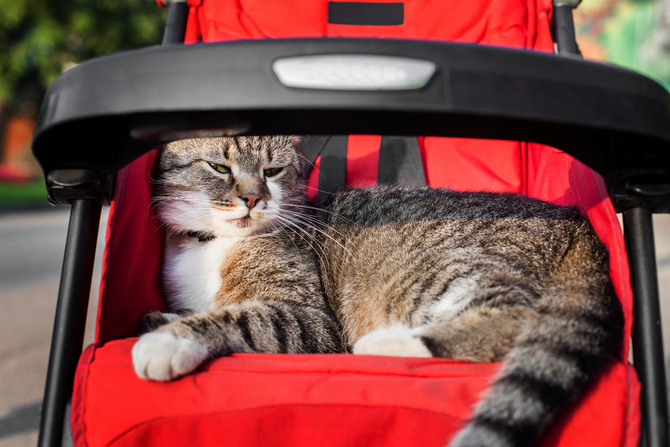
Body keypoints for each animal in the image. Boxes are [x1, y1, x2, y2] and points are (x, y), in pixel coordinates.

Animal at [131, 136, 624, 447]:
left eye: (272, 171)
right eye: (219, 167)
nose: (254, 198)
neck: (213, 243)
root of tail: (579, 222)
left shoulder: (311, 319)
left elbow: (244, 317)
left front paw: (170, 340)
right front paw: (164, 319)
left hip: (449, 267)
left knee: (514, 316)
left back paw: (389, 343)